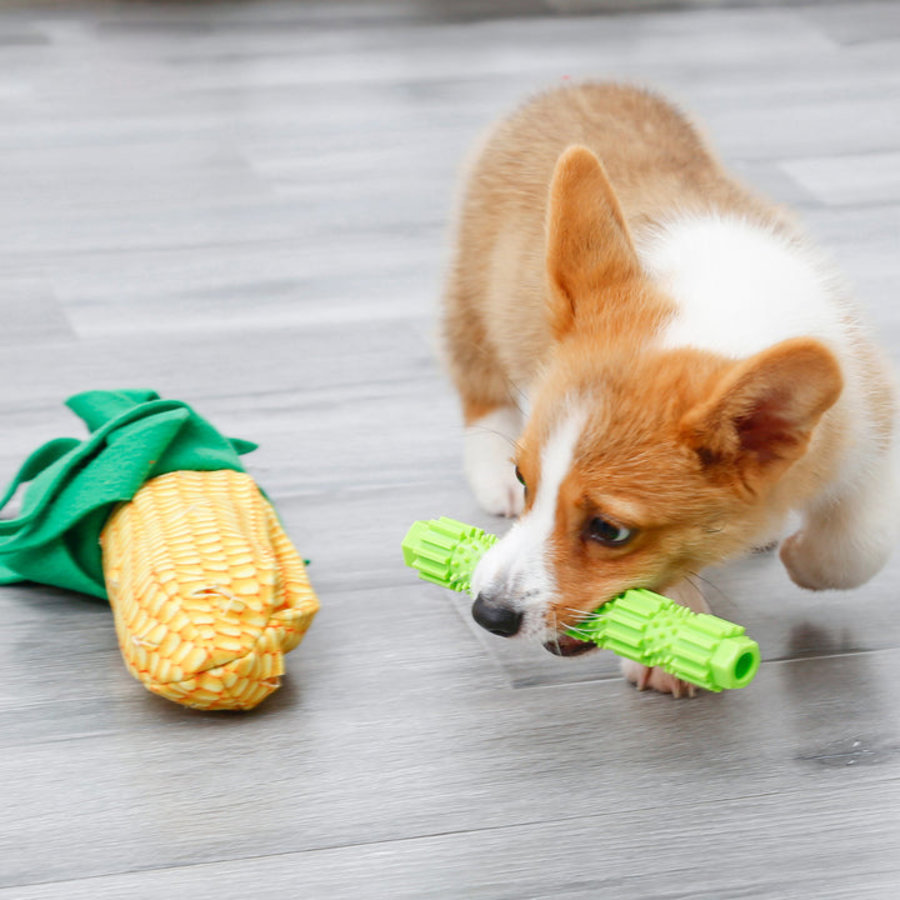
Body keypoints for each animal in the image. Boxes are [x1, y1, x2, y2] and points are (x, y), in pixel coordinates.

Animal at [440, 82, 896, 696]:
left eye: (609, 530)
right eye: (526, 478)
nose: (488, 613)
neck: (724, 314)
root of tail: (582, 83)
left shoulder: (868, 434)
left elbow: (861, 544)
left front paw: (803, 560)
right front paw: (669, 644)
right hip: (476, 294)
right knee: (479, 382)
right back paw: (488, 473)